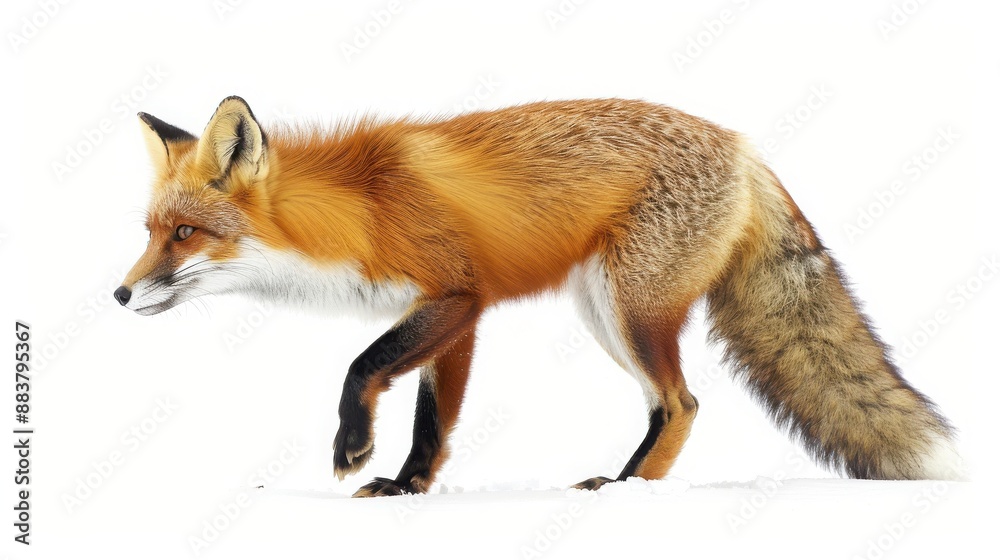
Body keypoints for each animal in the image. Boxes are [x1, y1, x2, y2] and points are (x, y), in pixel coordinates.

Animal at [116, 95, 962, 496]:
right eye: (151, 231)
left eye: (185, 234)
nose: (119, 295)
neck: (359, 211)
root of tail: (744, 147)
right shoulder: (458, 312)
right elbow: (433, 419)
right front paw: (408, 487)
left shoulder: (454, 294)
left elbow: (363, 365)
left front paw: (353, 446)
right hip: (606, 312)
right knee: (667, 404)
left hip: (629, 310)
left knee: (683, 403)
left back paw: (626, 492)